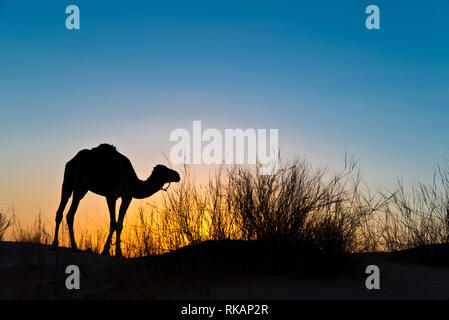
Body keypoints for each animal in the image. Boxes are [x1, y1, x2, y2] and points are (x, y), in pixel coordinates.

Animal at [51, 144, 180, 256]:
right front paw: (111, 251)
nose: (178, 175)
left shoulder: (123, 197)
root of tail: (72, 161)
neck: (133, 183)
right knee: (70, 214)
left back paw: (55, 244)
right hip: (80, 187)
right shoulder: (114, 196)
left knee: (60, 212)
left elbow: (118, 224)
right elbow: (114, 223)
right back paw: (74, 247)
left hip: (68, 184)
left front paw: (113, 252)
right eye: (166, 171)